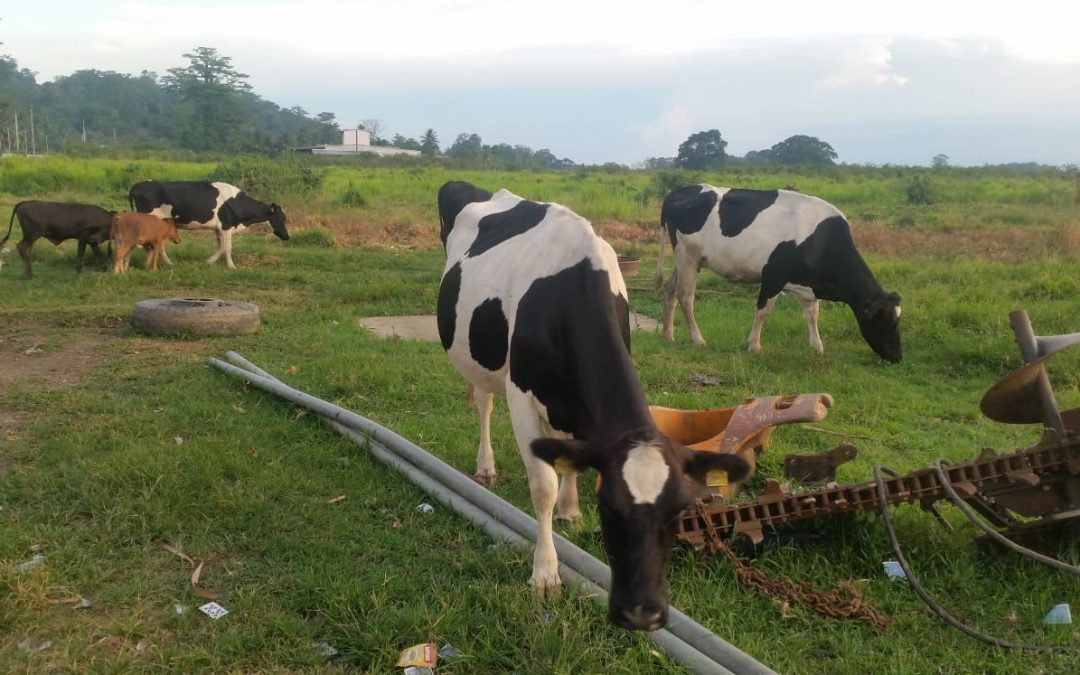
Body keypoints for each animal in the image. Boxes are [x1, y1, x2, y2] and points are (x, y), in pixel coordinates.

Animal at [126, 179, 289, 268]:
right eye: (280, 218)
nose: (287, 237)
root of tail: (136, 186)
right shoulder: (226, 225)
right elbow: (227, 247)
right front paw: (231, 266)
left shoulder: (219, 228)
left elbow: (221, 246)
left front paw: (210, 261)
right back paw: (159, 264)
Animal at [434, 181, 747, 630]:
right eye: (610, 510)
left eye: (678, 514)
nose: (643, 614)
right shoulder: (520, 394)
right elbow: (542, 486)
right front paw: (545, 573)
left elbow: (572, 458)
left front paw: (570, 510)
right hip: (483, 358)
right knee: (484, 404)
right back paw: (486, 466)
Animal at [656, 184, 902, 362]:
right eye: (888, 323)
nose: (897, 357)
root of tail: (678, 192)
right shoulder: (773, 276)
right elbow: (763, 310)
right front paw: (754, 345)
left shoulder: (805, 285)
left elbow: (813, 313)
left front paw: (817, 346)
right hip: (687, 255)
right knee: (685, 296)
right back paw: (697, 339)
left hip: (686, 259)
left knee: (670, 290)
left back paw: (668, 335)